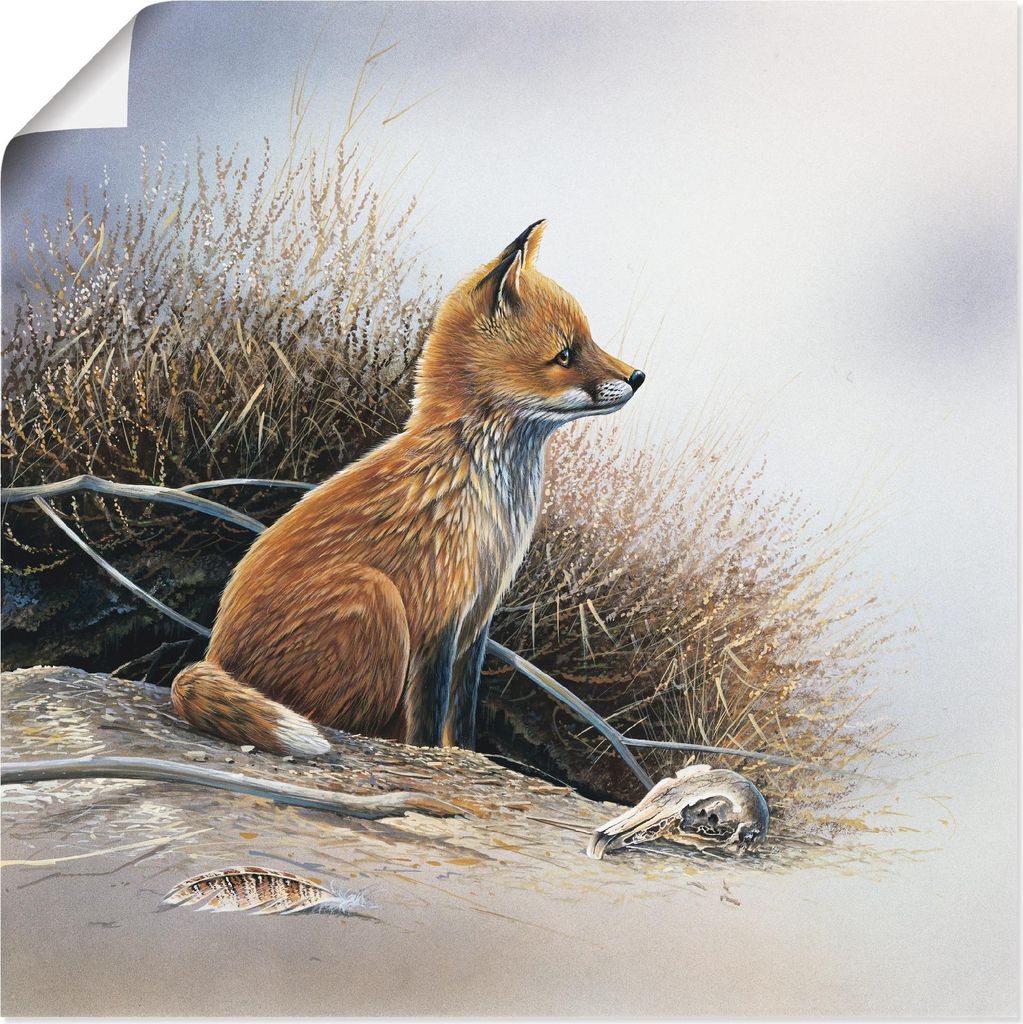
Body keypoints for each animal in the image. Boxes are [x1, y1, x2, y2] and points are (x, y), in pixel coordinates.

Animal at [170, 220, 645, 756]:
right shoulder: (440, 618)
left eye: (590, 340)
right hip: (376, 600)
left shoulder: (477, 624)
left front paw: (465, 756)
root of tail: (214, 654)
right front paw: (432, 758)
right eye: (565, 355)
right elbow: (429, 721)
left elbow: (462, 718)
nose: (638, 376)